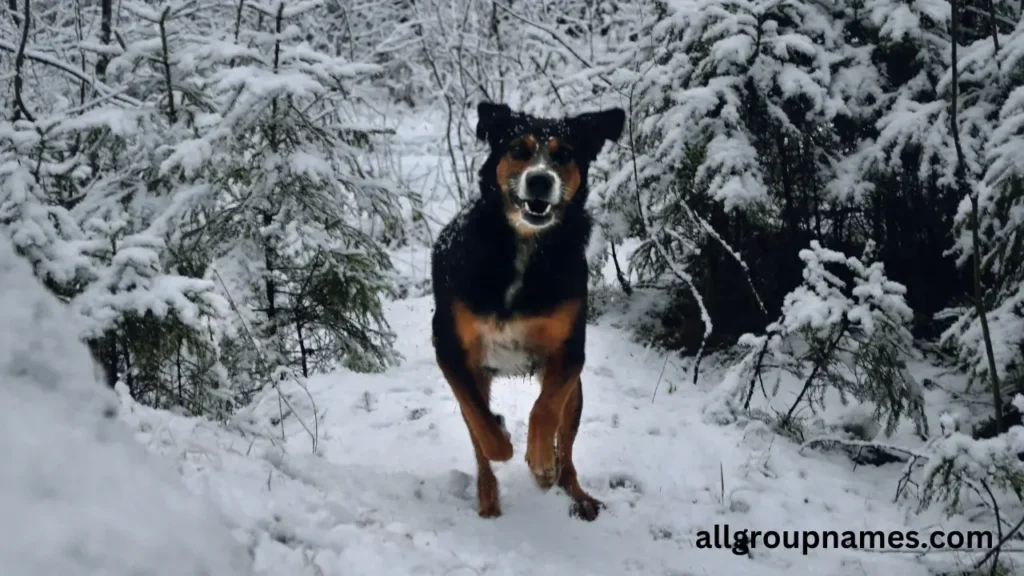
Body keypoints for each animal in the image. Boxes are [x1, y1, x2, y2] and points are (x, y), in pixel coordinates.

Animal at [430, 100, 622, 518]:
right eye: (518, 149)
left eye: (564, 155)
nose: (539, 181)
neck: (523, 246)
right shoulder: (450, 348)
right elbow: (483, 427)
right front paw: (502, 436)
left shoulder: (569, 350)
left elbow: (545, 408)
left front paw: (541, 464)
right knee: (478, 441)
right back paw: (488, 500)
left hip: (575, 395)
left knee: (566, 447)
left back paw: (571, 488)